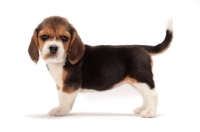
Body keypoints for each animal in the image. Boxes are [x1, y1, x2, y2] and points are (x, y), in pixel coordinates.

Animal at [28, 15, 173, 117]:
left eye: (64, 38)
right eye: (44, 37)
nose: (53, 48)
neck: (62, 60)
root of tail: (143, 48)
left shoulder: (70, 85)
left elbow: (64, 100)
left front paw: (60, 110)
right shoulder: (60, 85)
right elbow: (61, 97)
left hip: (142, 78)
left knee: (153, 94)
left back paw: (150, 112)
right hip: (137, 82)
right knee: (145, 95)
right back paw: (142, 108)